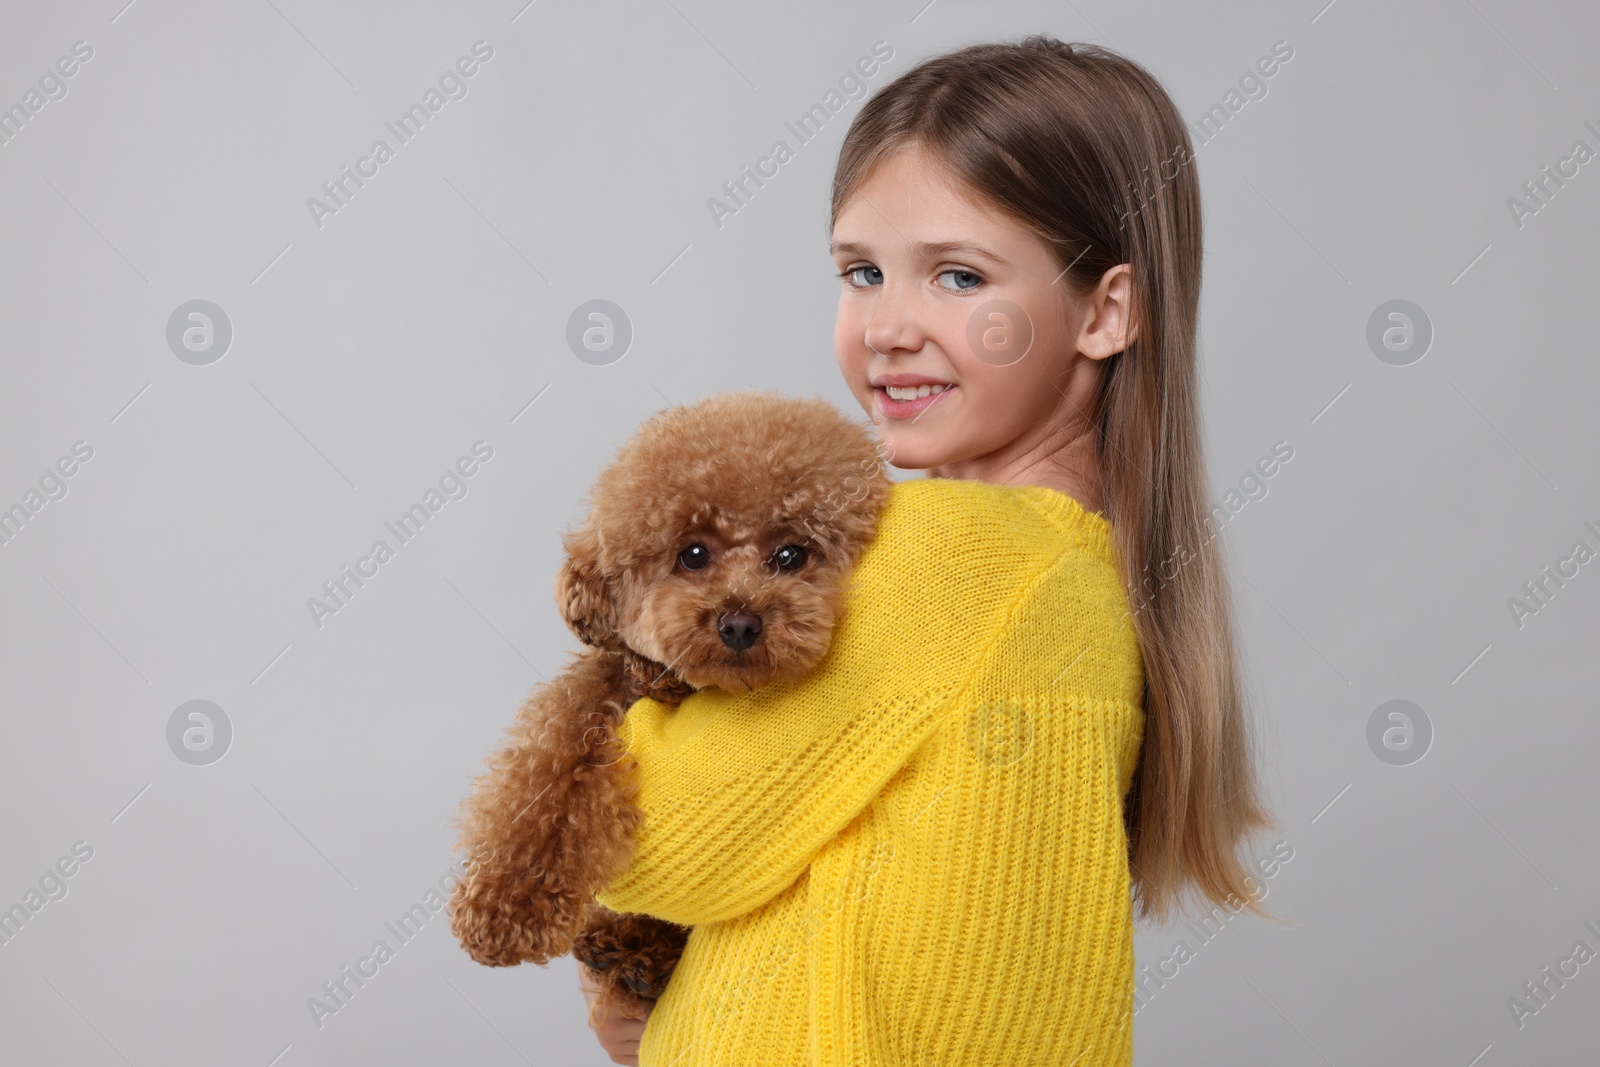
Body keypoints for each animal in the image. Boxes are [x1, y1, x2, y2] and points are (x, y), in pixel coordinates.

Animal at [451, 390, 896, 1017]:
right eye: (693, 554)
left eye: (791, 555)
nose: (740, 623)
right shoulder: (589, 701)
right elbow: (541, 790)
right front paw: (503, 909)